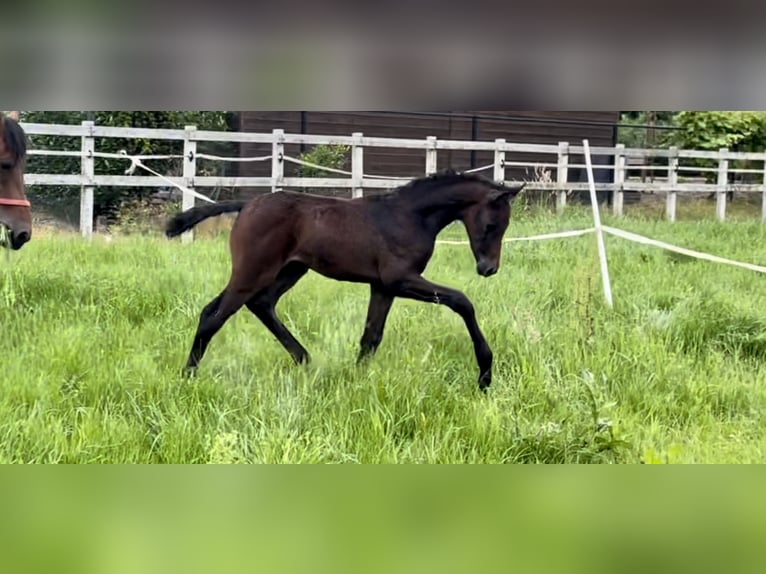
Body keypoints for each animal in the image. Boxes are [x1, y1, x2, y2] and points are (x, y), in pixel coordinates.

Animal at [166, 171, 528, 392]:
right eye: (492, 225)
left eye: (505, 226)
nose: (488, 268)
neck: (410, 216)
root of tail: (247, 204)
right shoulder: (401, 279)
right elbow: (461, 301)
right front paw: (485, 373)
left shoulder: (383, 286)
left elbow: (371, 337)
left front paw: (356, 382)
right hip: (253, 272)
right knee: (214, 316)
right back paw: (187, 376)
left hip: (288, 271)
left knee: (257, 304)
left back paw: (304, 359)